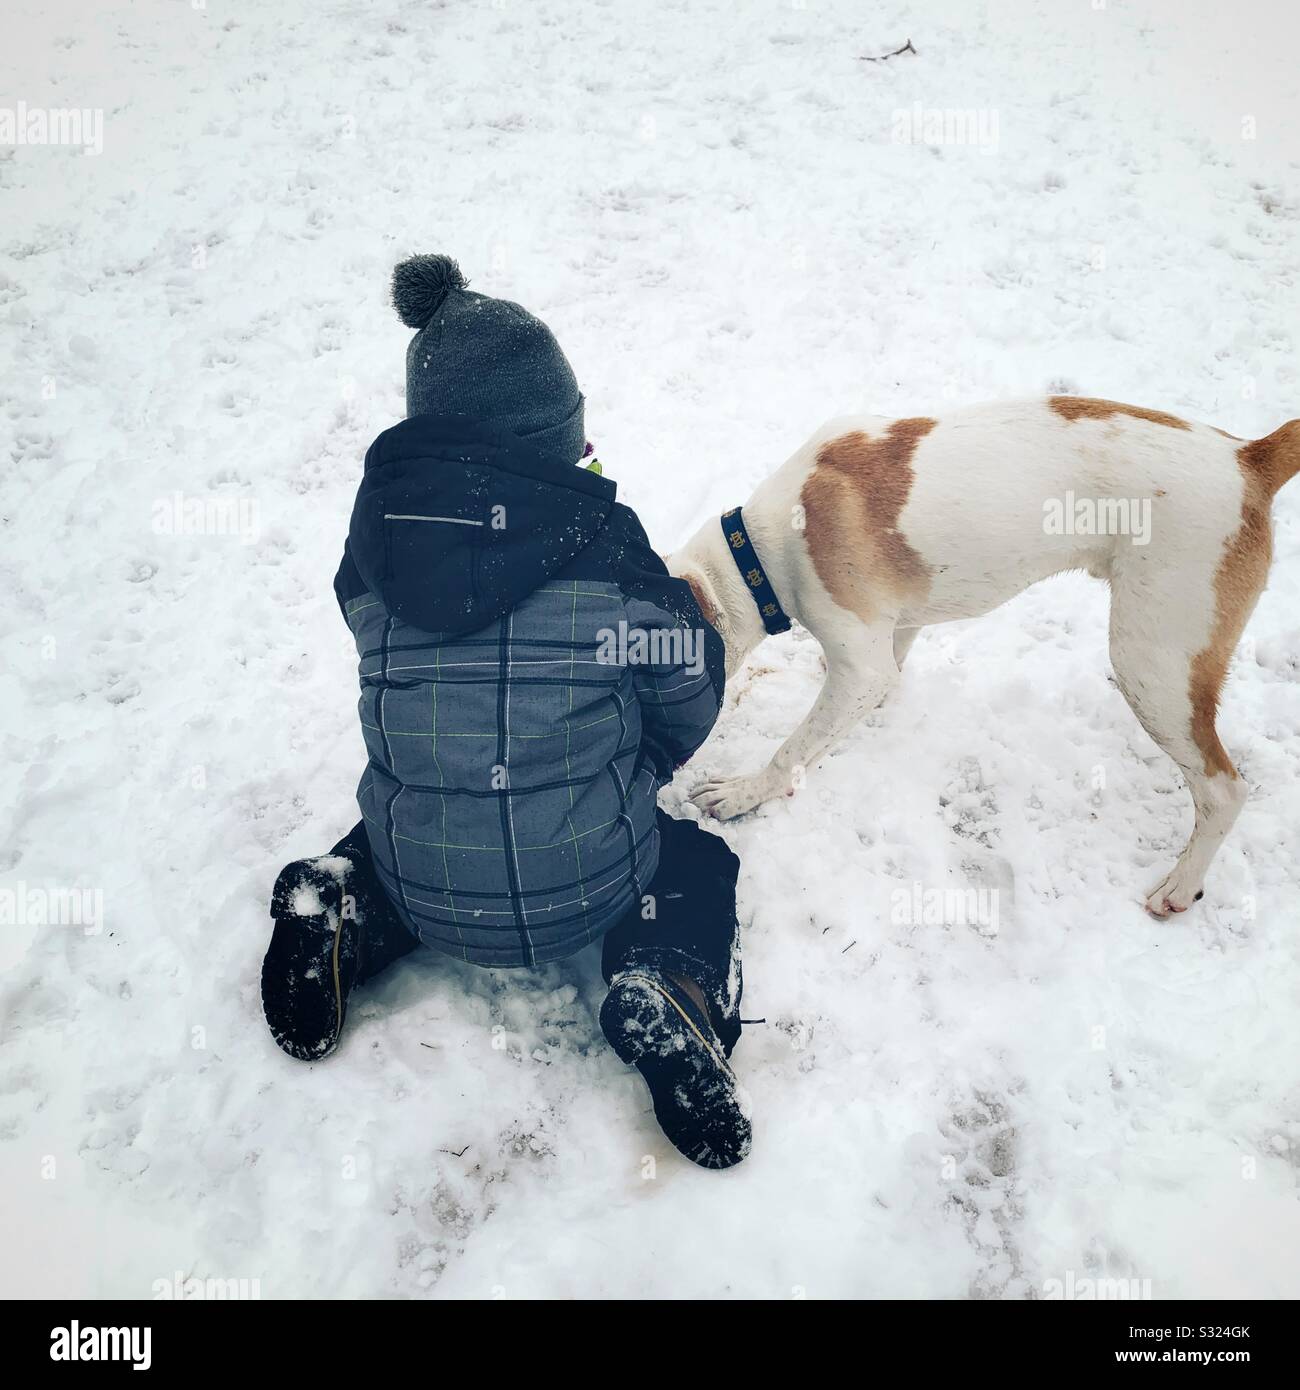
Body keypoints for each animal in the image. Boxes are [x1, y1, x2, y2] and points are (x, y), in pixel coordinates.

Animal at [664, 397, 1295, 917]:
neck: (757, 554)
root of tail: (1248, 457)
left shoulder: (858, 664)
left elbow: (792, 751)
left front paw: (743, 794)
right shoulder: (889, 633)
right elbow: (889, 668)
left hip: (1154, 664)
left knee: (1224, 790)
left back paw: (1180, 886)